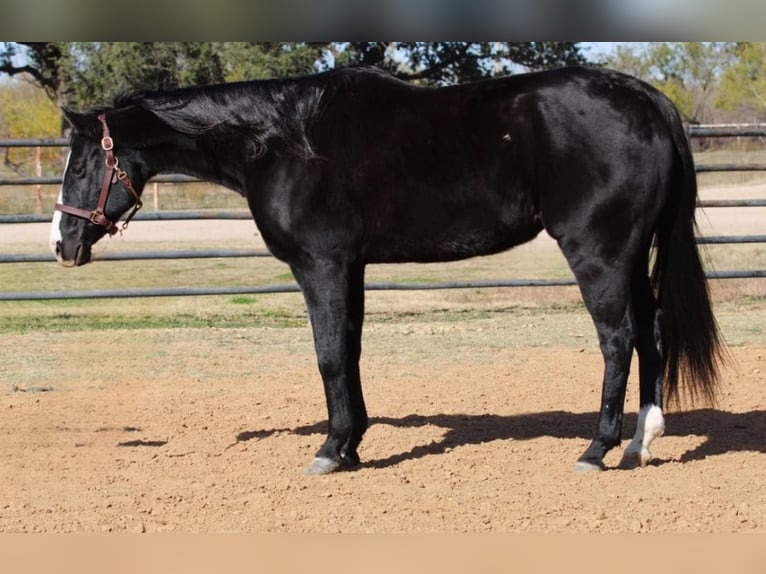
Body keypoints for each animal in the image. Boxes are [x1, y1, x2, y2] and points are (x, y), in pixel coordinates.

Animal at [49, 65, 728, 474]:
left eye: (81, 164)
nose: (61, 243)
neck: (282, 141)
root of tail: (649, 101)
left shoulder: (320, 265)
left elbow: (327, 355)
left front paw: (329, 450)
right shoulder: (349, 266)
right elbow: (348, 351)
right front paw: (350, 446)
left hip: (598, 252)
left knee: (618, 340)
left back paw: (597, 450)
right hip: (631, 255)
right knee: (651, 334)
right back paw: (642, 442)